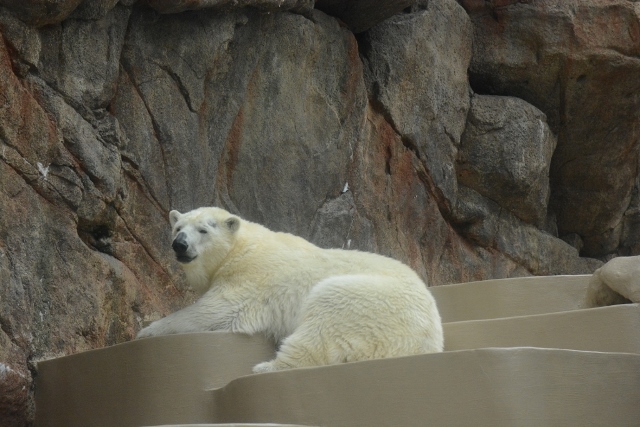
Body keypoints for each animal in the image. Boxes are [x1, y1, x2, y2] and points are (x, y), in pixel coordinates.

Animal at [137, 208, 442, 374]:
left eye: (203, 230)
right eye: (177, 227)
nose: (180, 244)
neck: (242, 247)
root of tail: (429, 343)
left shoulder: (251, 276)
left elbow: (216, 311)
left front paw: (146, 331)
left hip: (369, 304)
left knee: (323, 323)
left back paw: (266, 367)